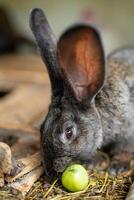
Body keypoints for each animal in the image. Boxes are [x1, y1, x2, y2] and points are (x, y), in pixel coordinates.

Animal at [29, 7, 134, 175]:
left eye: (69, 132)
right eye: (42, 128)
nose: (51, 168)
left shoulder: (129, 131)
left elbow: (124, 149)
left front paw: (117, 166)